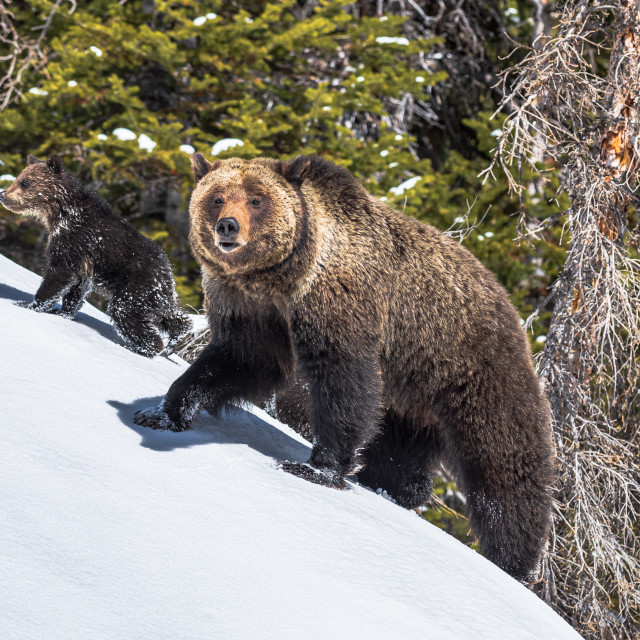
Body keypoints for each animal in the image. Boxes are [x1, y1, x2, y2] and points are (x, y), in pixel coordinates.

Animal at [0, 154, 190, 356]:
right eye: (18, 178)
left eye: (25, 182)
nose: (3, 194)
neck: (60, 213)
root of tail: (169, 275)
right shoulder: (82, 260)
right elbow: (77, 287)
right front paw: (64, 312)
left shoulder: (72, 241)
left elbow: (59, 274)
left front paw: (29, 304)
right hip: (153, 297)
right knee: (170, 317)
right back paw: (177, 335)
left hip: (134, 289)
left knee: (126, 314)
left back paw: (139, 347)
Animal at [134, 152, 556, 584]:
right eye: (216, 198)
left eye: (256, 199)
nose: (228, 226)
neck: (280, 278)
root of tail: (507, 300)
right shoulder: (253, 311)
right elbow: (236, 361)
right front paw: (164, 412)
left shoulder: (337, 303)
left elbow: (342, 381)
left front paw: (316, 467)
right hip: (409, 391)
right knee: (400, 449)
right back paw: (394, 488)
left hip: (468, 365)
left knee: (503, 461)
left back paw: (513, 559)